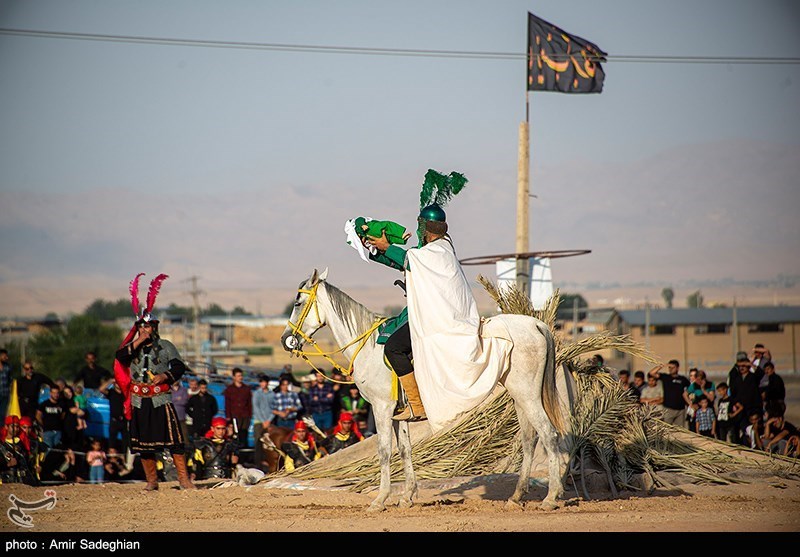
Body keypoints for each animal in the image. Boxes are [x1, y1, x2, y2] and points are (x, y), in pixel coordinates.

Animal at [278, 268, 572, 510]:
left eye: (298, 302)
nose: (286, 340)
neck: (369, 346)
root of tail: (536, 324)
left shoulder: (381, 408)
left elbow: (384, 451)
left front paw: (380, 499)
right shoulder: (399, 414)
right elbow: (405, 450)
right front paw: (407, 496)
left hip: (527, 394)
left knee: (549, 435)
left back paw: (550, 497)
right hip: (520, 396)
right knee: (529, 439)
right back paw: (517, 496)